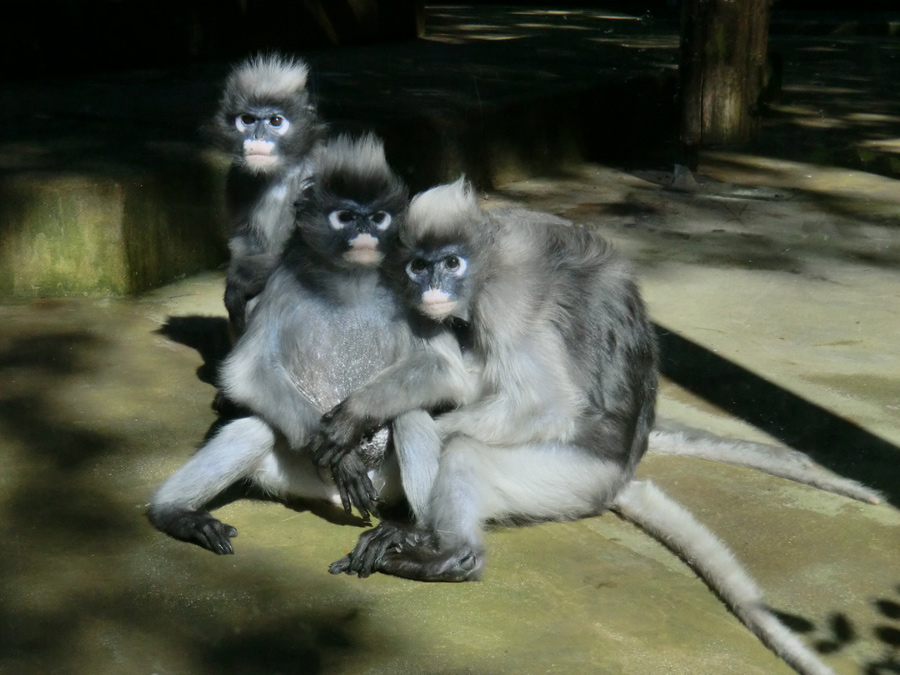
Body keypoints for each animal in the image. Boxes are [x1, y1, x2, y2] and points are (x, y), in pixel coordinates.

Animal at [148, 135, 472, 552]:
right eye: (346, 216)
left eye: (378, 217)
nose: (365, 231)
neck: (351, 282)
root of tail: (328, 497)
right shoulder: (284, 281)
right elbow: (247, 374)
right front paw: (339, 455)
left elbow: (448, 372)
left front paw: (349, 419)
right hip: (292, 472)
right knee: (256, 426)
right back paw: (174, 511)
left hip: (385, 485)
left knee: (410, 414)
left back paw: (415, 531)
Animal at [210, 52, 324, 336]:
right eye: (248, 120)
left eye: (275, 121)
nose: (258, 137)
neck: (281, 172)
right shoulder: (237, 178)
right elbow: (243, 241)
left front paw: (240, 281)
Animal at [314, 180, 836, 675]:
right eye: (420, 267)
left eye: (452, 263)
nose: (433, 289)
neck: (489, 258)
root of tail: (619, 477)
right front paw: (364, 417)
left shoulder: (506, 300)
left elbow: (545, 406)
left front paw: (367, 439)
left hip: (570, 479)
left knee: (464, 446)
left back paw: (444, 548)